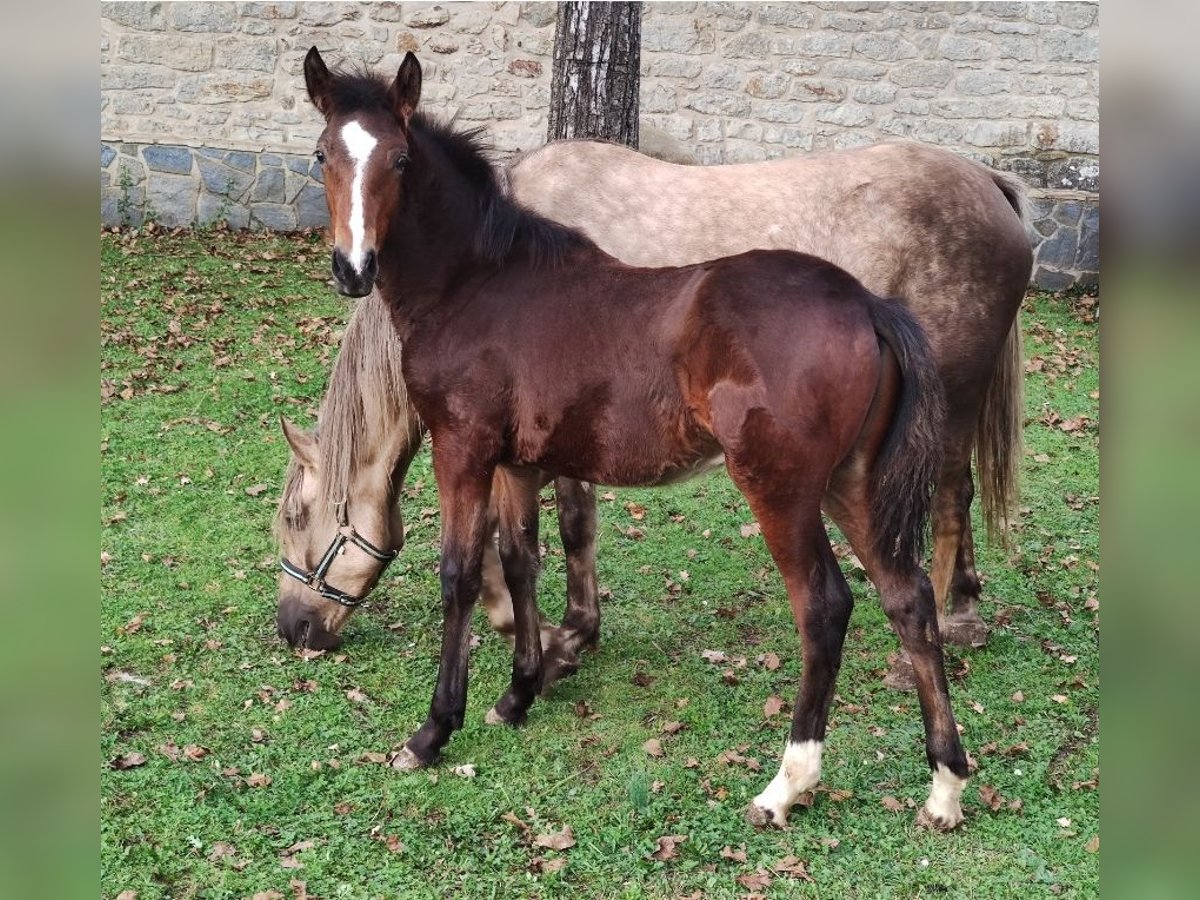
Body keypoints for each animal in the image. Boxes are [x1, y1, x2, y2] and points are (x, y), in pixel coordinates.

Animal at [292, 51, 974, 830]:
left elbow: (459, 574)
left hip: (783, 491)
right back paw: (945, 787)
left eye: (400, 159)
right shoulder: (517, 463)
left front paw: (433, 731)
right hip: (851, 484)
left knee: (825, 609)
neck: (477, 284)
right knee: (908, 599)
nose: (354, 269)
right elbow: (521, 562)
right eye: (323, 154)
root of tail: (865, 303)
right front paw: (518, 694)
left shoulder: (462, 449)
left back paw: (786, 784)